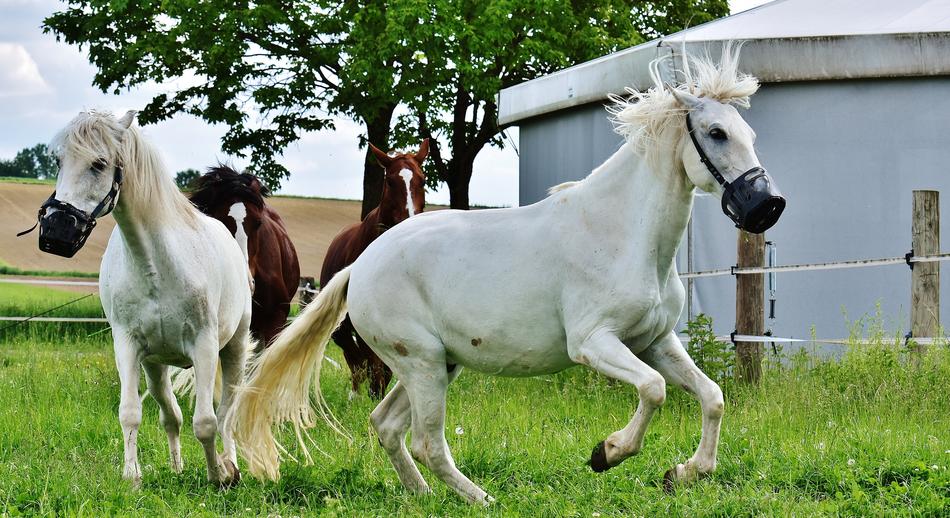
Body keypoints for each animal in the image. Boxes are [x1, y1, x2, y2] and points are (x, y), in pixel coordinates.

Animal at [33, 110, 252, 488]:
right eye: (59, 161)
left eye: (99, 163)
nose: (56, 230)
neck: (155, 266)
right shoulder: (127, 345)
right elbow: (131, 413)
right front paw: (131, 477)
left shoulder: (205, 346)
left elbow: (206, 422)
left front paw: (218, 476)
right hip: (155, 365)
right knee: (171, 415)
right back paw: (177, 468)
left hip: (233, 349)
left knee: (226, 414)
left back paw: (230, 464)